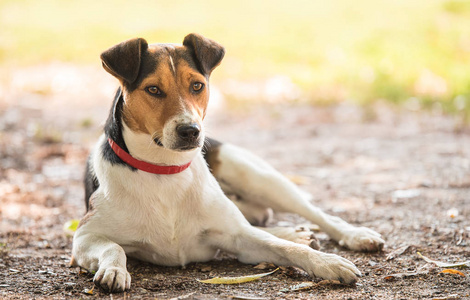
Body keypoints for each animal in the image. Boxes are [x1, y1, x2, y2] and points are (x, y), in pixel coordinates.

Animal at [71, 33, 384, 292]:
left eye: (197, 85)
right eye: (153, 90)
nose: (190, 131)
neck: (165, 168)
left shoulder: (240, 239)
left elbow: (286, 248)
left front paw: (328, 263)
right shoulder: (84, 237)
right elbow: (114, 248)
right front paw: (114, 270)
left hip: (258, 178)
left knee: (314, 214)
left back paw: (354, 234)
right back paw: (296, 232)